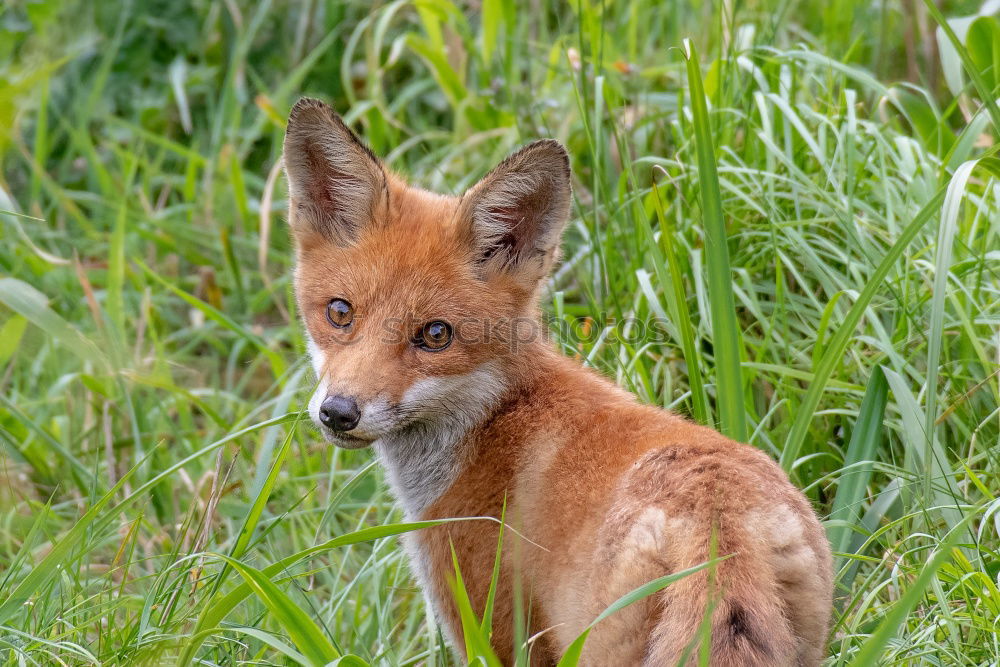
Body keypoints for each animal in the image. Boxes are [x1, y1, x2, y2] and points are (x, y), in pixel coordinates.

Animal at [284, 96, 836, 664]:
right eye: (340, 313)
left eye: (435, 335)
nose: (338, 412)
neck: (491, 423)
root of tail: (716, 527)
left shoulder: (496, 634)